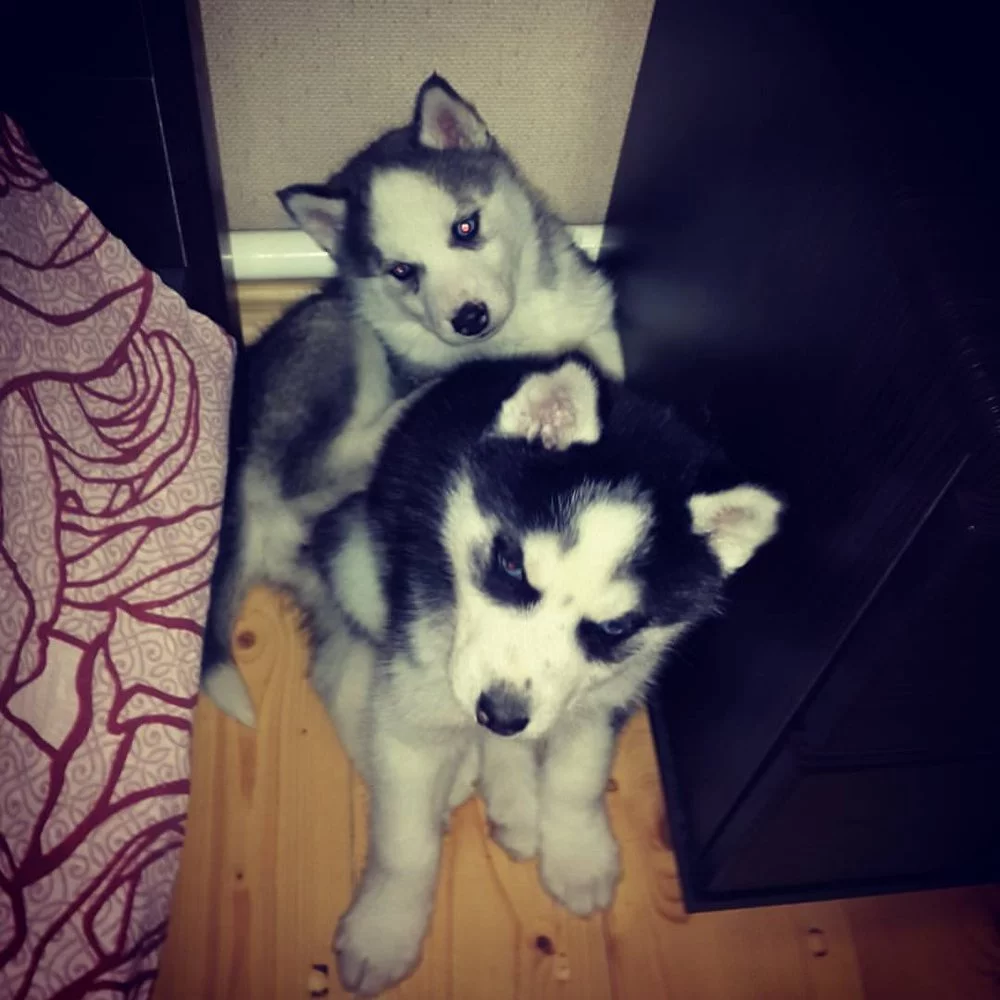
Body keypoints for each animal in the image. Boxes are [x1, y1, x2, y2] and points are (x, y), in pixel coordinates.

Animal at [201, 75, 625, 724]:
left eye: (466, 227)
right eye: (402, 271)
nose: (469, 318)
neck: (518, 333)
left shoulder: (597, 326)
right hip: (338, 331)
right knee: (313, 463)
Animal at [307, 353, 783, 995]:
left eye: (614, 627)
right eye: (512, 565)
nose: (501, 712)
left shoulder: (609, 691)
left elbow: (577, 776)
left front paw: (577, 851)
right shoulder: (418, 677)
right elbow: (404, 838)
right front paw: (385, 930)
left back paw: (513, 796)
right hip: (358, 563)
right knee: (343, 673)